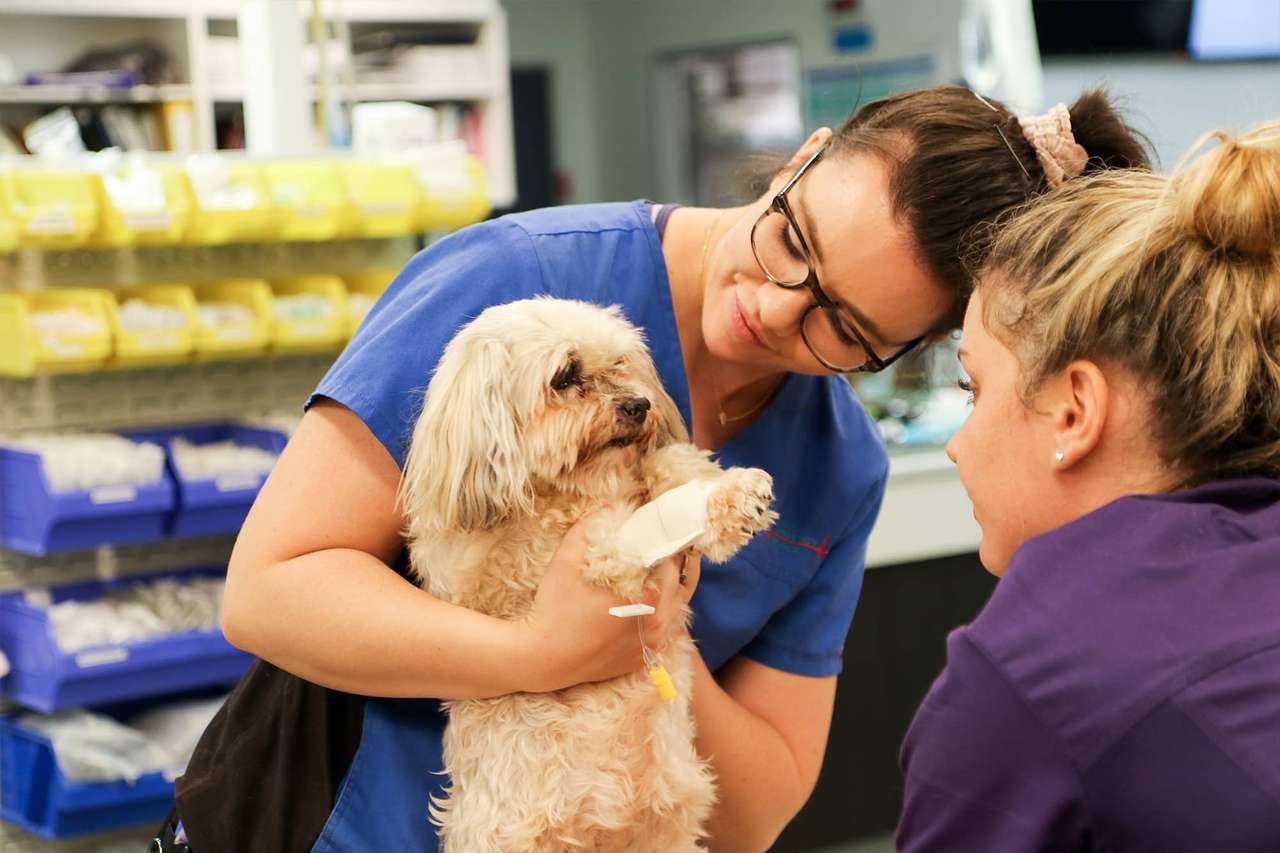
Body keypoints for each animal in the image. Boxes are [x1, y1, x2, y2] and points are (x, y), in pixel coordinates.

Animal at [399, 295, 778, 845]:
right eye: (564, 375)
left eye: (620, 363)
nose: (639, 405)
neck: (574, 488)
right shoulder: (564, 555)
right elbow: (627, 529)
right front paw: (714, 510)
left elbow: (672, 464)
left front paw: (728, 491)